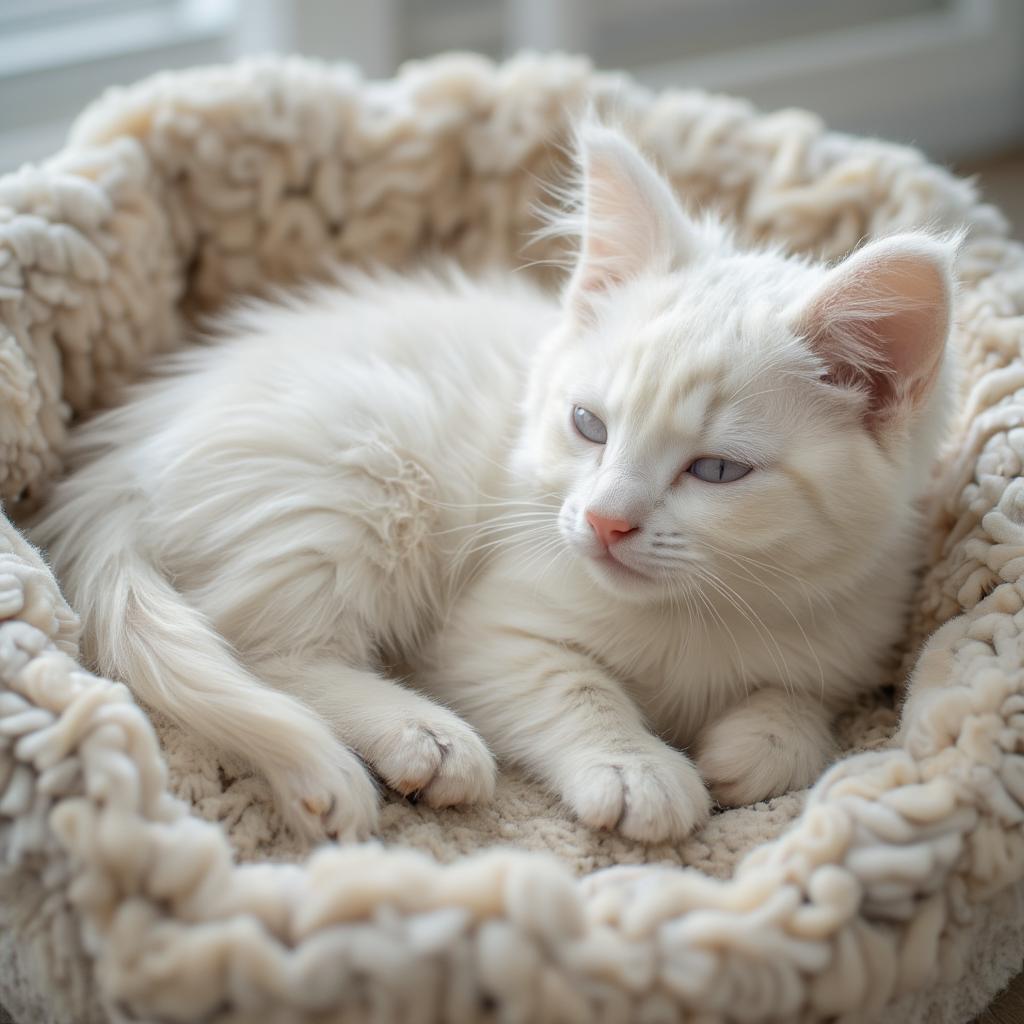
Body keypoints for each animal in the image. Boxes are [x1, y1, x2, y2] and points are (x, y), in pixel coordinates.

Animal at [34, 128, 958, 843]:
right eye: (589, 424)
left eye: (718, 471)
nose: (605, 521)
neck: (700, 614)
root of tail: (118, 463)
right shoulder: (488, 629)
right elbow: (573, 684)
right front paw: (636, 770)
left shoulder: (856, 635)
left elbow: (806, 699)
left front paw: (761, 741)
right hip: (367, 470)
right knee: (259, 647)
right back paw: (426, 737)